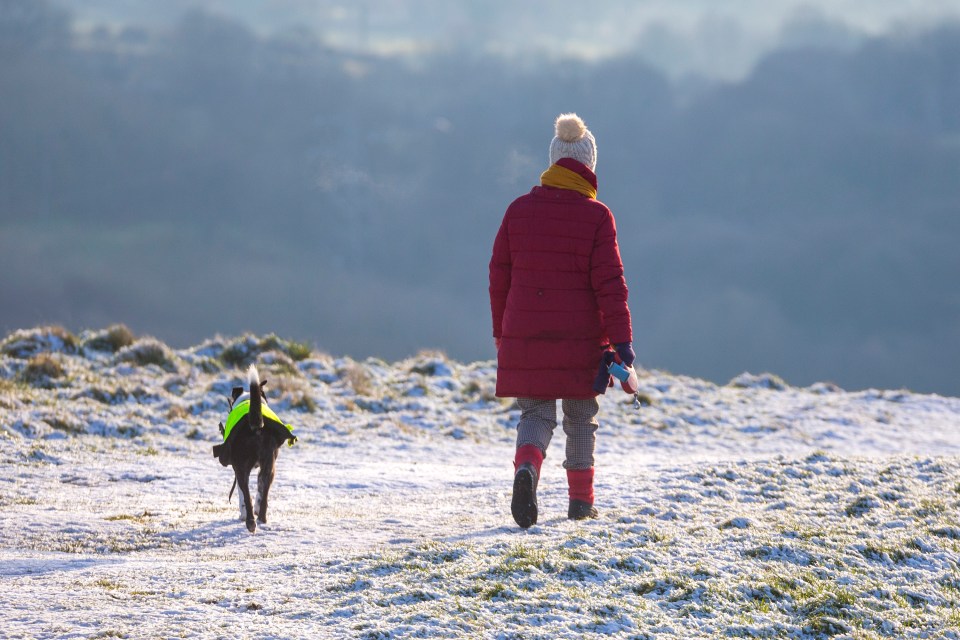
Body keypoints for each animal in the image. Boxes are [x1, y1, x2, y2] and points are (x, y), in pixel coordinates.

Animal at [213, 362, 296, 532]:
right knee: (264, 494)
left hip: (241, 468)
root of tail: (256, 426)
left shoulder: (237, 469)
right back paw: (261, 518)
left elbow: (242, 497)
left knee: (246, 494)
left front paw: (242, 514)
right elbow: (259, 490)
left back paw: (250, 522)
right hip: (269, 466)